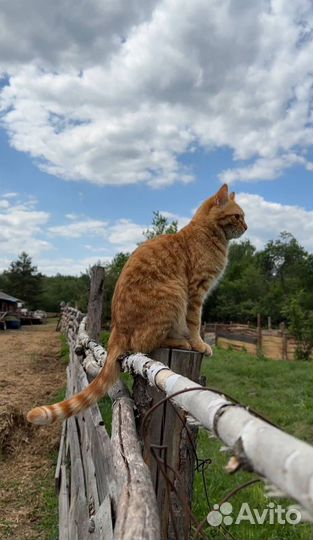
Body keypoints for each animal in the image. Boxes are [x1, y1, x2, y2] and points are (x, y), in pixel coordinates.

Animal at [26, 184, 246, 424]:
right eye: (238, 216)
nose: (246, 227)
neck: (208, 233)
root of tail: (115, 331)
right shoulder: (196, 292)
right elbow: (195, 323)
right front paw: (199, 344)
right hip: (174, 296)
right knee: (145, 344)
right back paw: (182, 342)